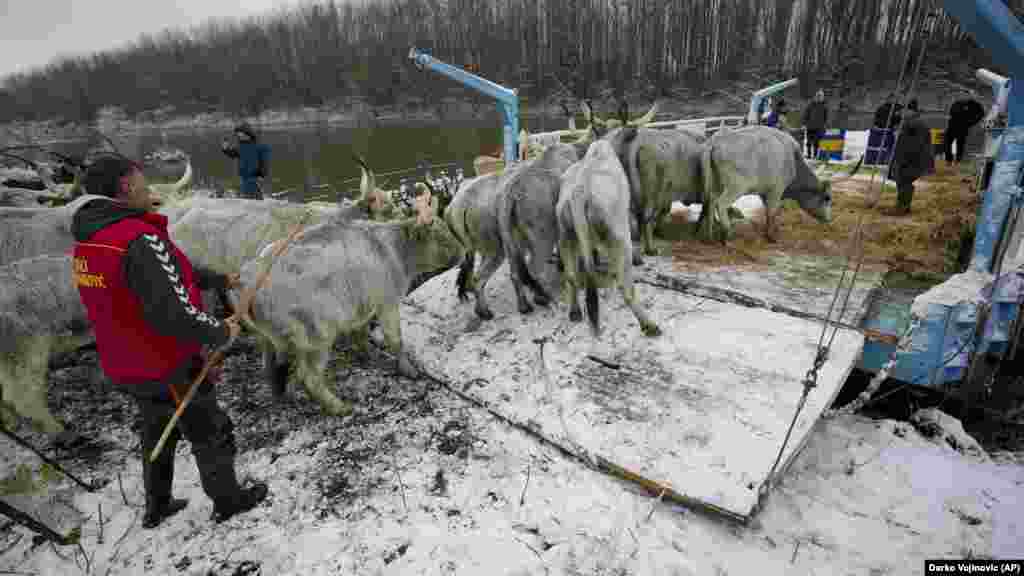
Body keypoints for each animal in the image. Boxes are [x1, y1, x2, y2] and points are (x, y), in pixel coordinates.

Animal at [557, 134, 659, 336]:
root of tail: (579, 193)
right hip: (618, 236)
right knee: (624, 286)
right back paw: (649, 325)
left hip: (566, 235)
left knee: (571, 274)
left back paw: (575, 312)